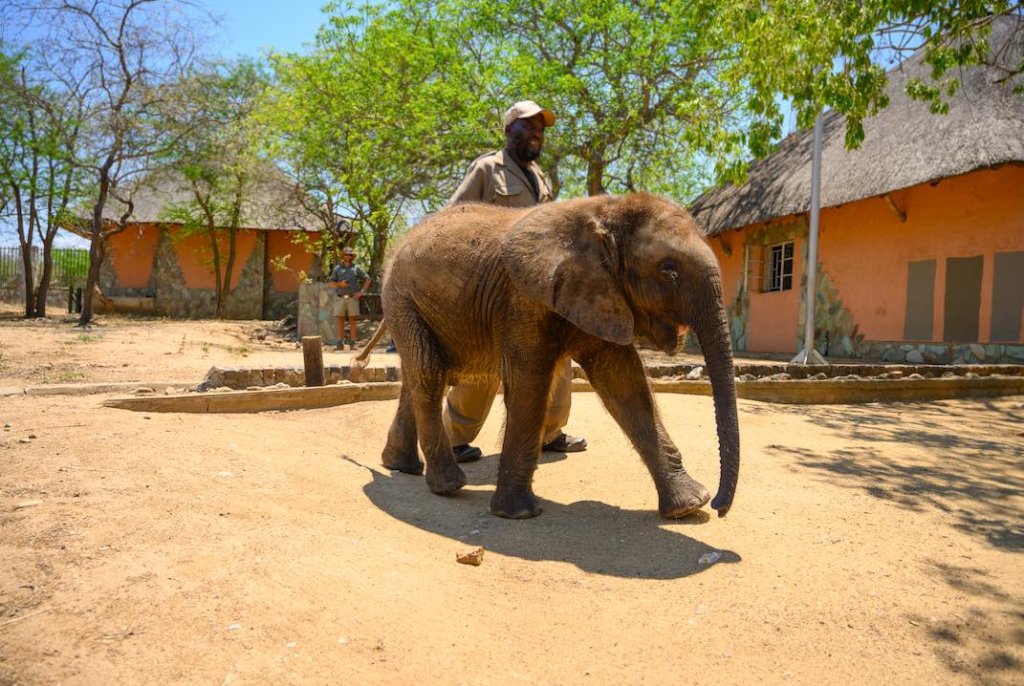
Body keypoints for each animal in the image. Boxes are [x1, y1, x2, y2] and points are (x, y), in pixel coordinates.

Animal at [377, 191, 739, 520]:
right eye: (668, 269)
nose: (720, 508)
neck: (606, 211)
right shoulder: (521, 299)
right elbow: (530, 382)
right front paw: (518, 514)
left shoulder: (602, 294)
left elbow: (625, 384)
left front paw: (689, 506)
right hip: (401, 299)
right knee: (428, 372)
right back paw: (448, 485)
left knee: (420, 374)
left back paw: (401, 465)